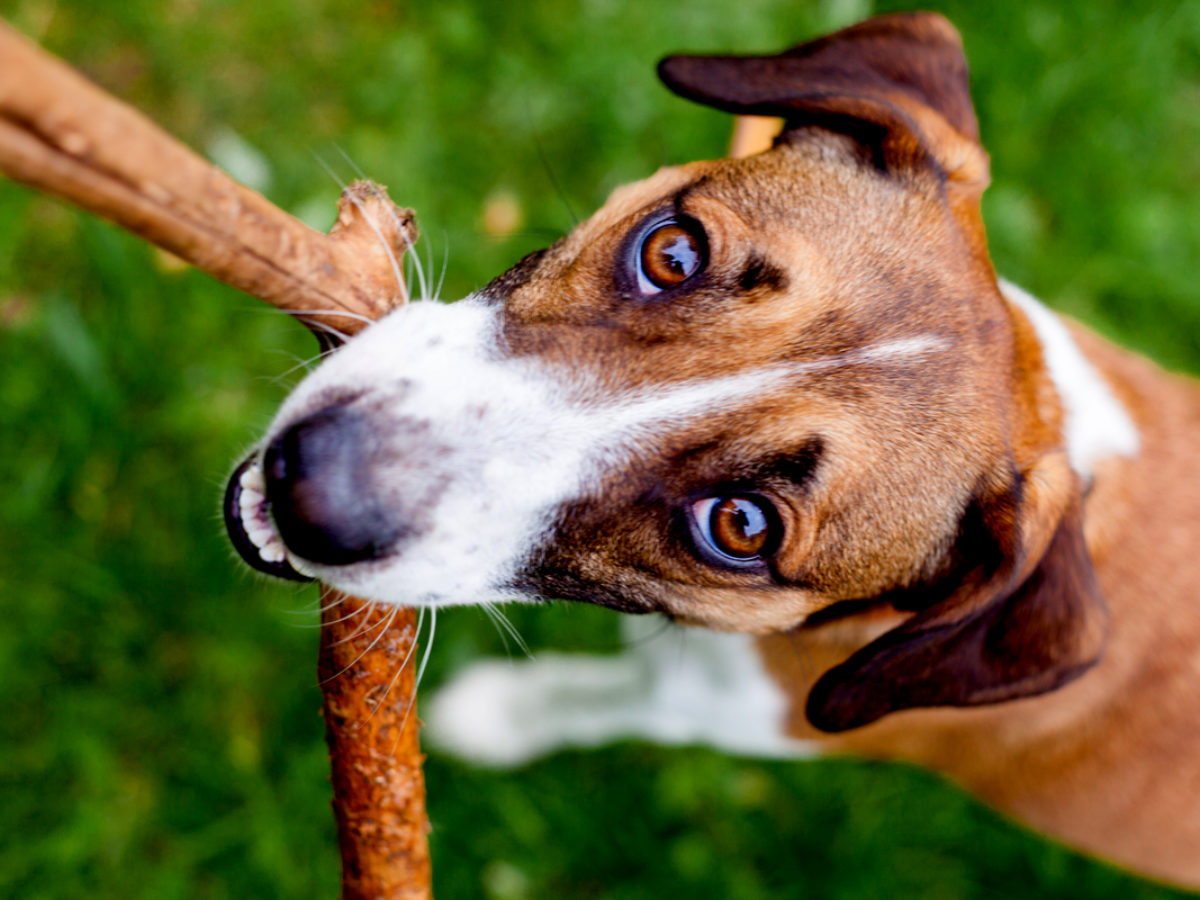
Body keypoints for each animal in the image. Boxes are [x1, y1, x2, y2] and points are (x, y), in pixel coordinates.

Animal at [223, 14, 1200, 897]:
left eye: (741, 526)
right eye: (673, 251)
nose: (314, 482)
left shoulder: (707, 703)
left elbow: (591, 698)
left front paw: (493, 715)